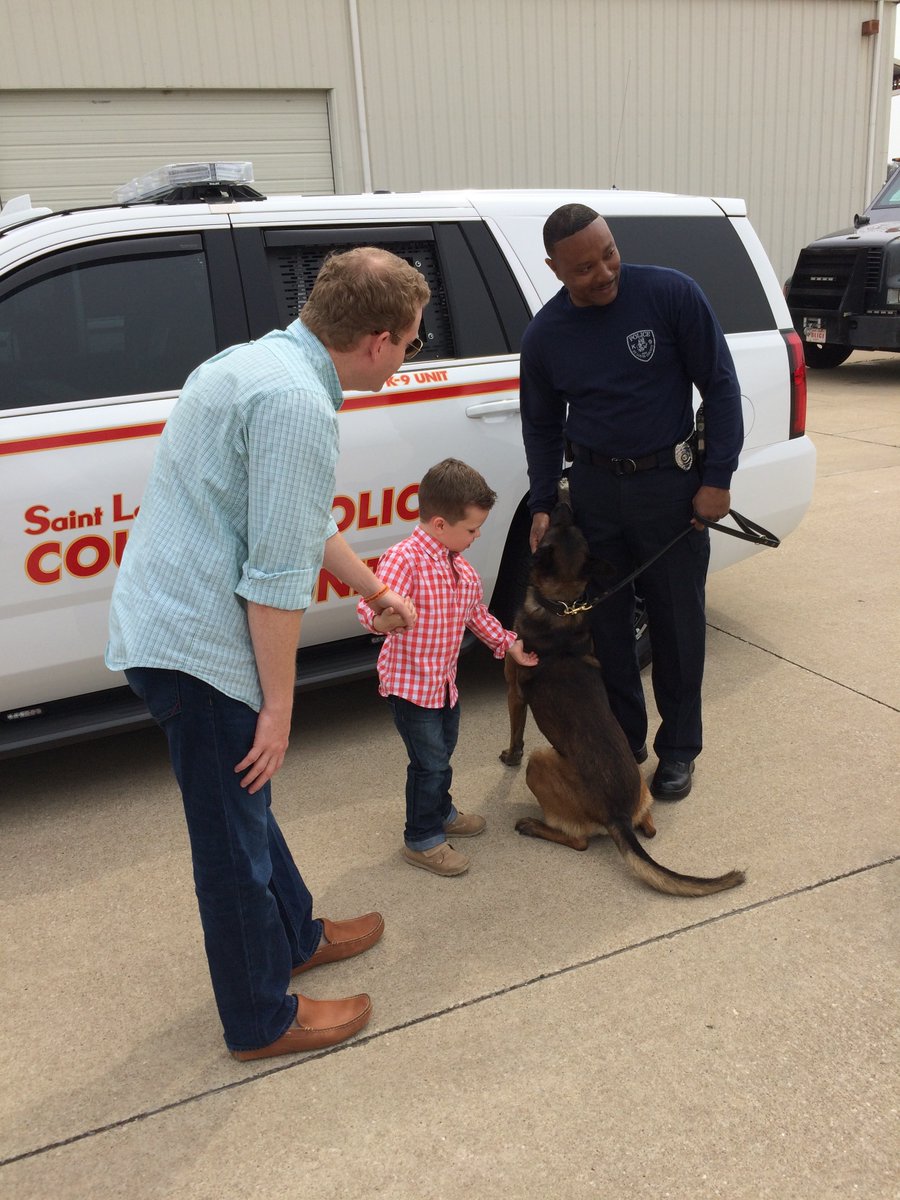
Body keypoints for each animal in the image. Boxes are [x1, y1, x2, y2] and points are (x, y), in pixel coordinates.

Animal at [501, 501, 748, 897]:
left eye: (557, 526)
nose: (563, 500)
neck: (561, 607)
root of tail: (618, 816)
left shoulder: (514, 693)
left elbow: (516, 735)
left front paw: (509, 756)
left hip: (541, 761)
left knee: (579, 841)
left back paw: (534, 826)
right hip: (639, 799)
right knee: (650, 827)